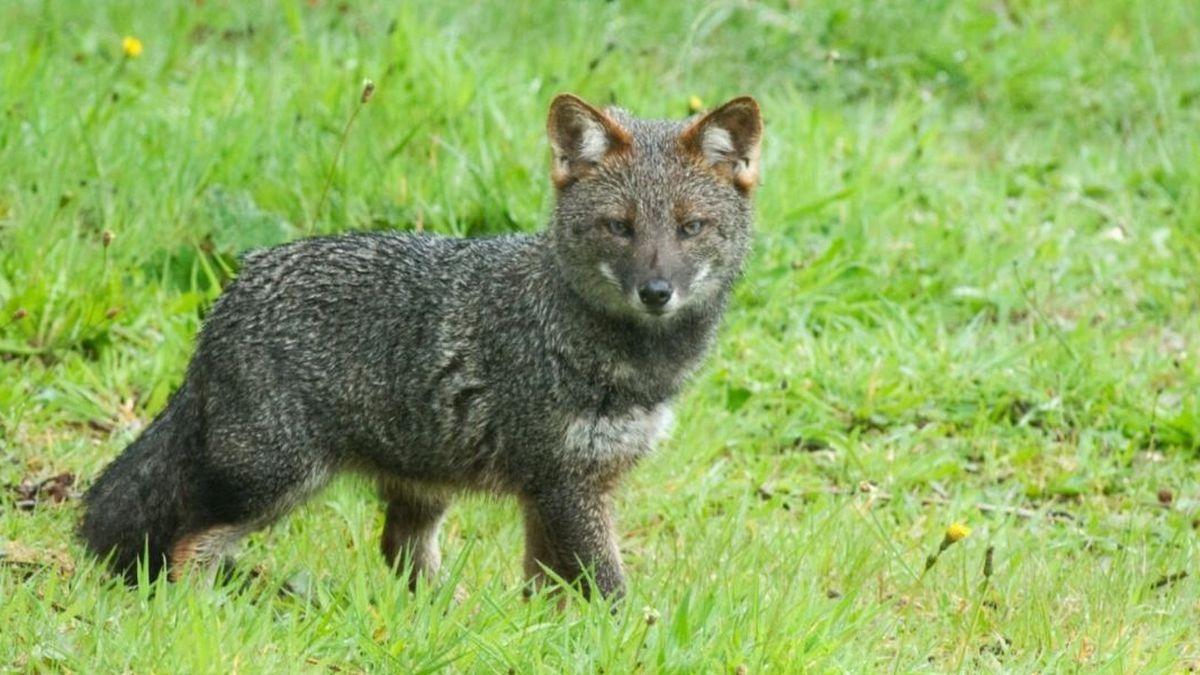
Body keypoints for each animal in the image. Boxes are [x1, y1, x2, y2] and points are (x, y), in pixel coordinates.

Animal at [80, 93, 763, 599]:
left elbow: (546, 588)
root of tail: (231, 293)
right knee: (188, 546)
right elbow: (608, 587)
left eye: (690, 228)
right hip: (278, 480)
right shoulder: (566, 485)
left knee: (398, 552)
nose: (656, 292)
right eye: (619, 228)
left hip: (421, 484)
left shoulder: (563, 489)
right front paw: (623, 641)